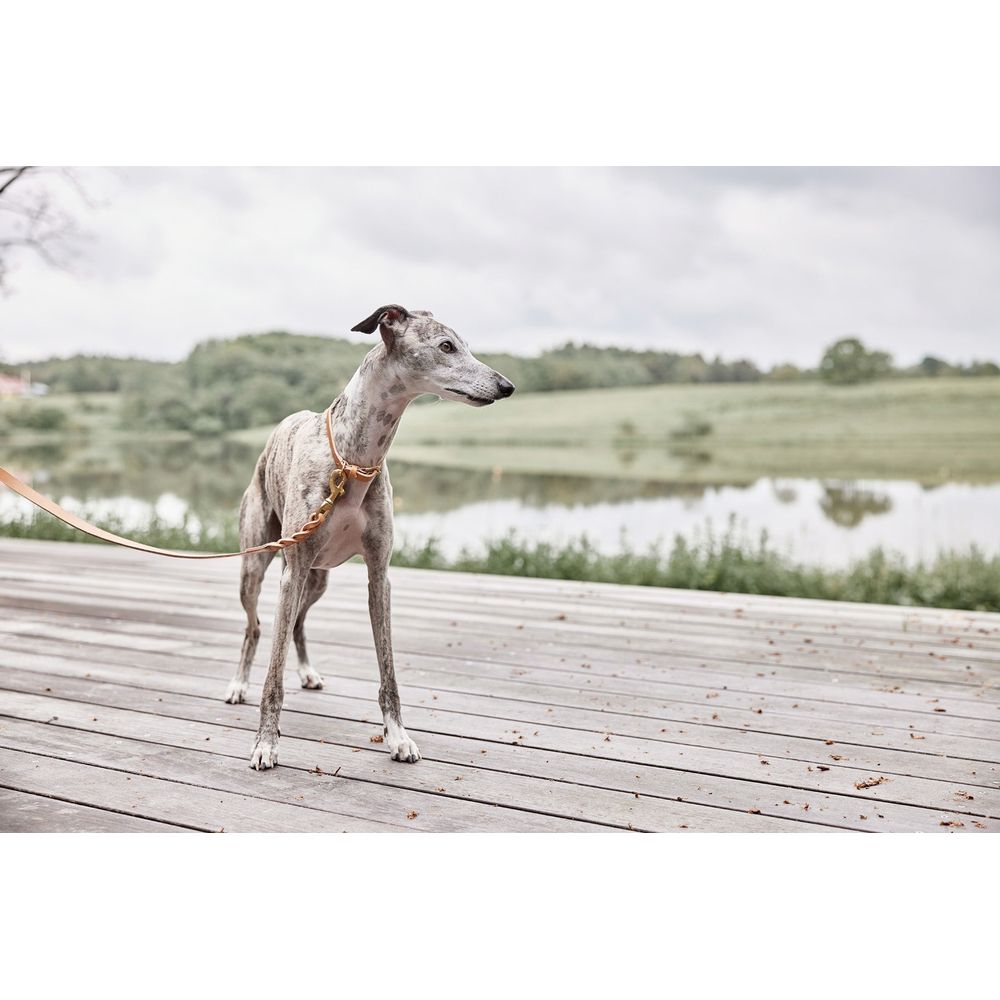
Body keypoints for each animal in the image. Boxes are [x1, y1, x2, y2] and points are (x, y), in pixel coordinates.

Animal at [225, 308, 516, 768]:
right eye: (446, 346)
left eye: (464, 345)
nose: (507, 386)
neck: (353, 461)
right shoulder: (293, 571)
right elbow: (273, 676)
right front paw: (266, 743)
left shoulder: (379, 573)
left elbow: (388, 670)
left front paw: (398, 737)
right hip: (259, 567)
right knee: (254, 627)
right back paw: (238, 684)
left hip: (317, 578)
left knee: (298, 624)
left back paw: (306, 671)